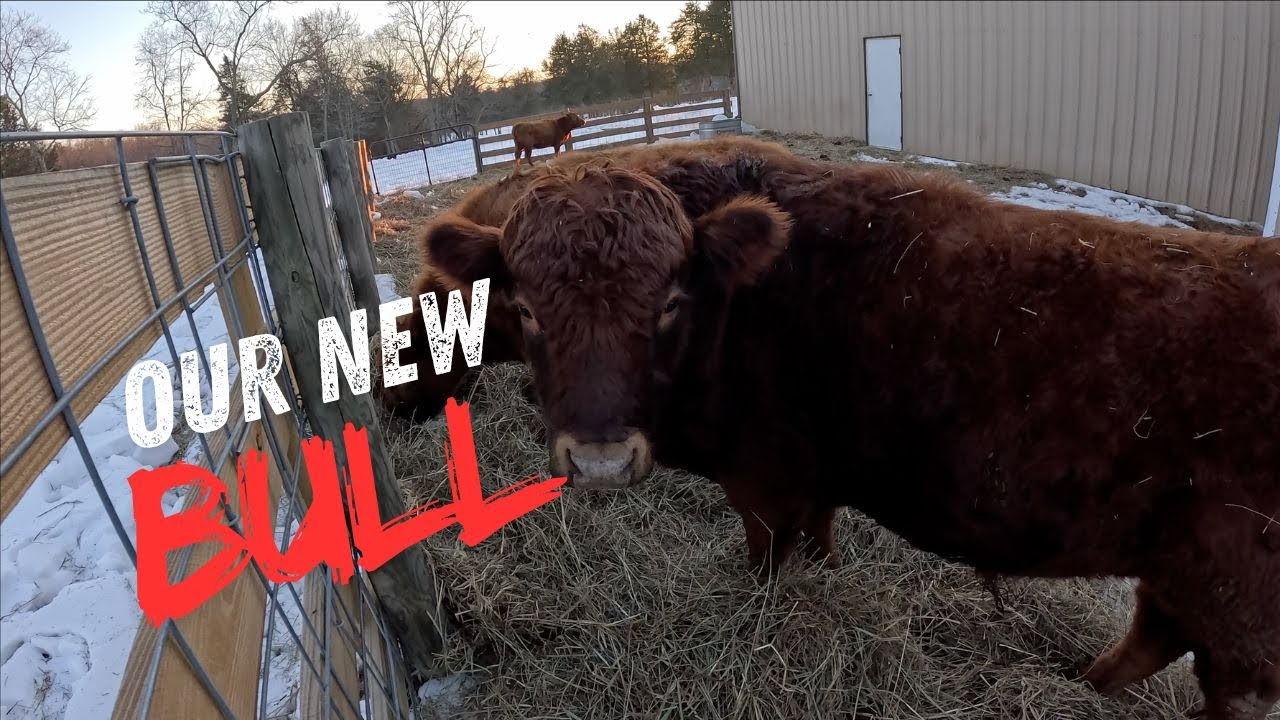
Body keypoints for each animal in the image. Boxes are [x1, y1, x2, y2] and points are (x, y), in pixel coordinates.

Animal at [411, 144, 1280, 719]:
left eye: (667, 302)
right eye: (525, 306)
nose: (598, 459)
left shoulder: (761, 482)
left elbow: (768, 566)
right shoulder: (812, 478)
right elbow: (823, 541)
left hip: (1241, 601)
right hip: (1185, 571)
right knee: (1152, 637)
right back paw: (1079, 687)